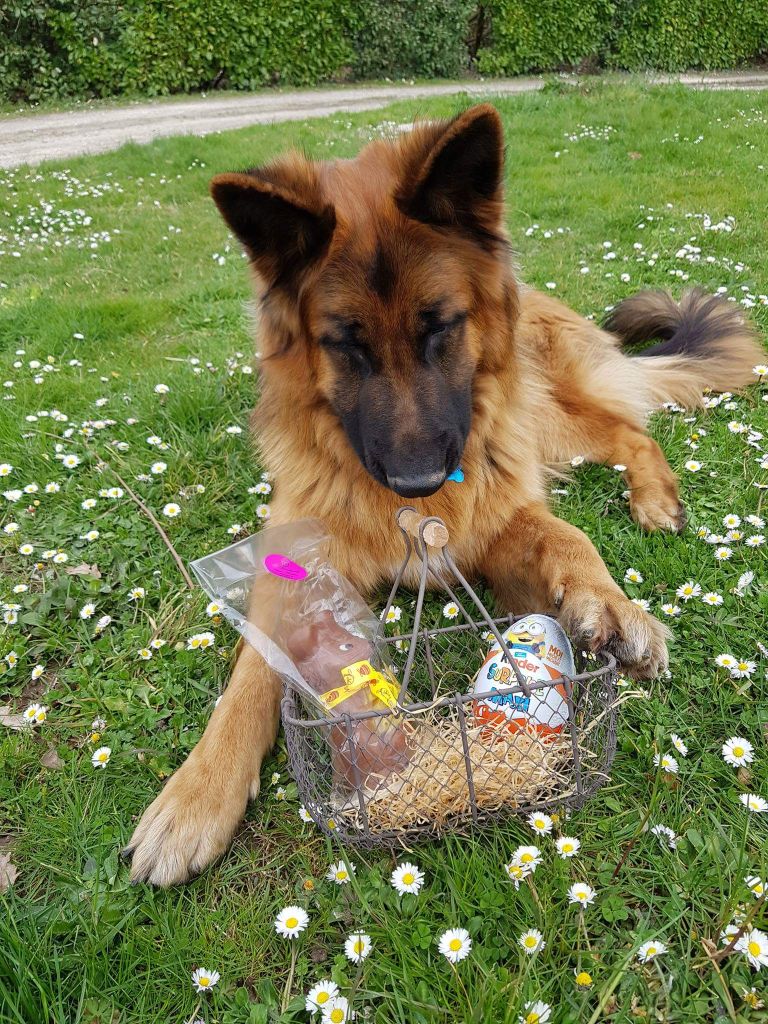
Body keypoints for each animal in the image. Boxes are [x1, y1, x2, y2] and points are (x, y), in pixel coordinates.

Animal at [126, 105, 765, 888]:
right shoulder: (297, 558)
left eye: (441, 327)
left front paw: (612, 607)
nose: (419, 483)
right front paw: (194, 796)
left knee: (629, 430)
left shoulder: (498, 516)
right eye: (346, 345)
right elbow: (251, 676)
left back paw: (653, 499)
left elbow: (567, 536)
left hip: (541, 412)